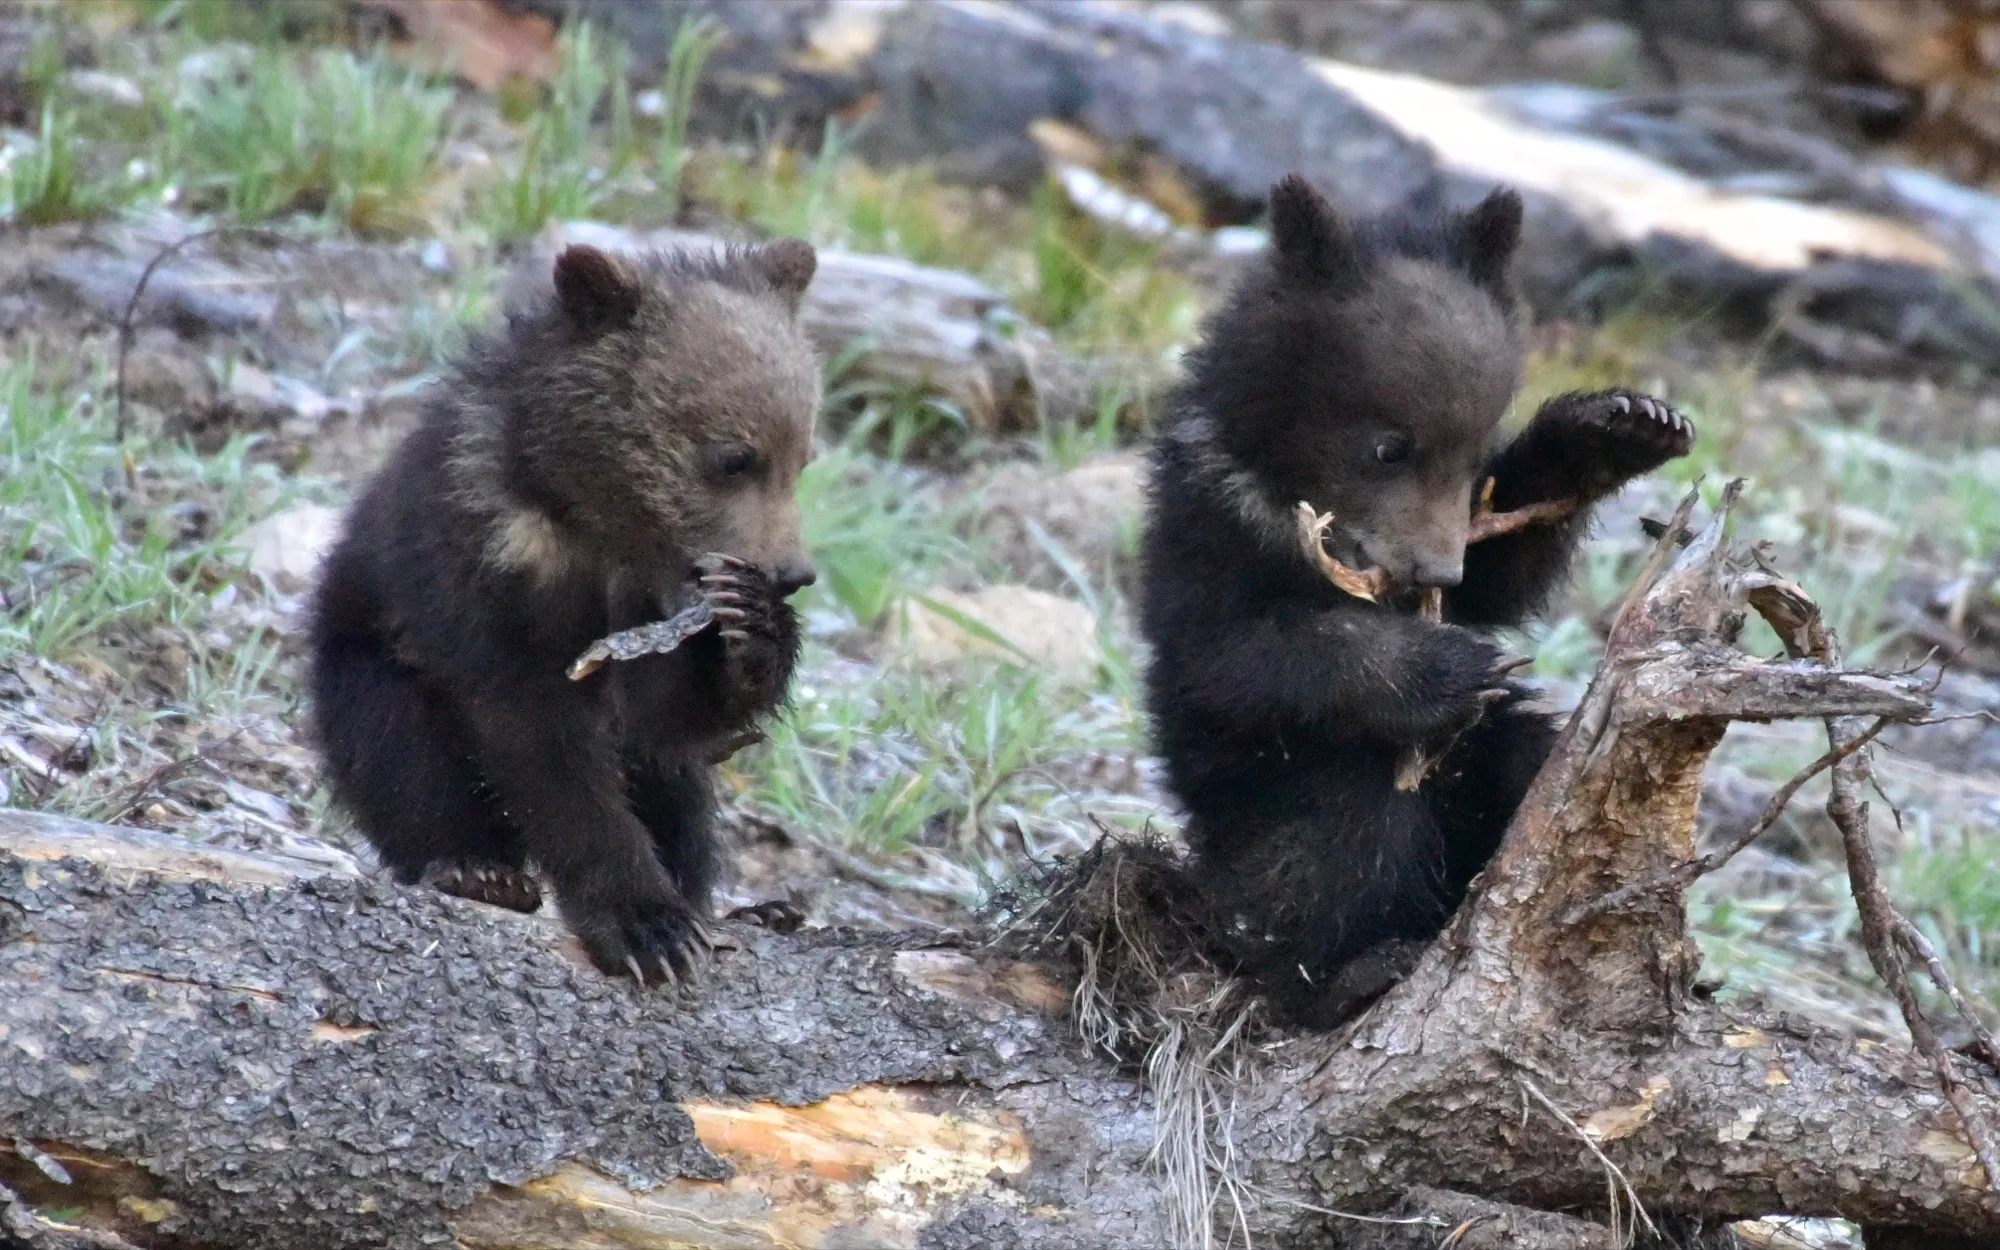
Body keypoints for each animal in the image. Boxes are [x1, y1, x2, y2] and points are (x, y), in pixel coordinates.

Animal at [309, 239, 822, 985]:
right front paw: (649, 926)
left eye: (801, 459)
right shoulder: (481, 562)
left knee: (681, 800)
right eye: (733, 458)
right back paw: (476, 868)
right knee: (395, 750)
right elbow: (541, 741)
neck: (596, 522)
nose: (792, 573)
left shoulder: (644, 607)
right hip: (366, 648)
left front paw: (752, 625)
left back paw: (760, 909)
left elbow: (668, 722)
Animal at [1138, 174, 1694, 1029]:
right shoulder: (1211, 533)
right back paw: (1348, 972)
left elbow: (1508, 569)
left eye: (1472, 451)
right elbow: (1241, 655)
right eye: (1388, 446)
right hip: (1252, 808)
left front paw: (1622, 424)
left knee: (1521, 755)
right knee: (1332, 841)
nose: (1437, 568)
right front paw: (1441, 669)